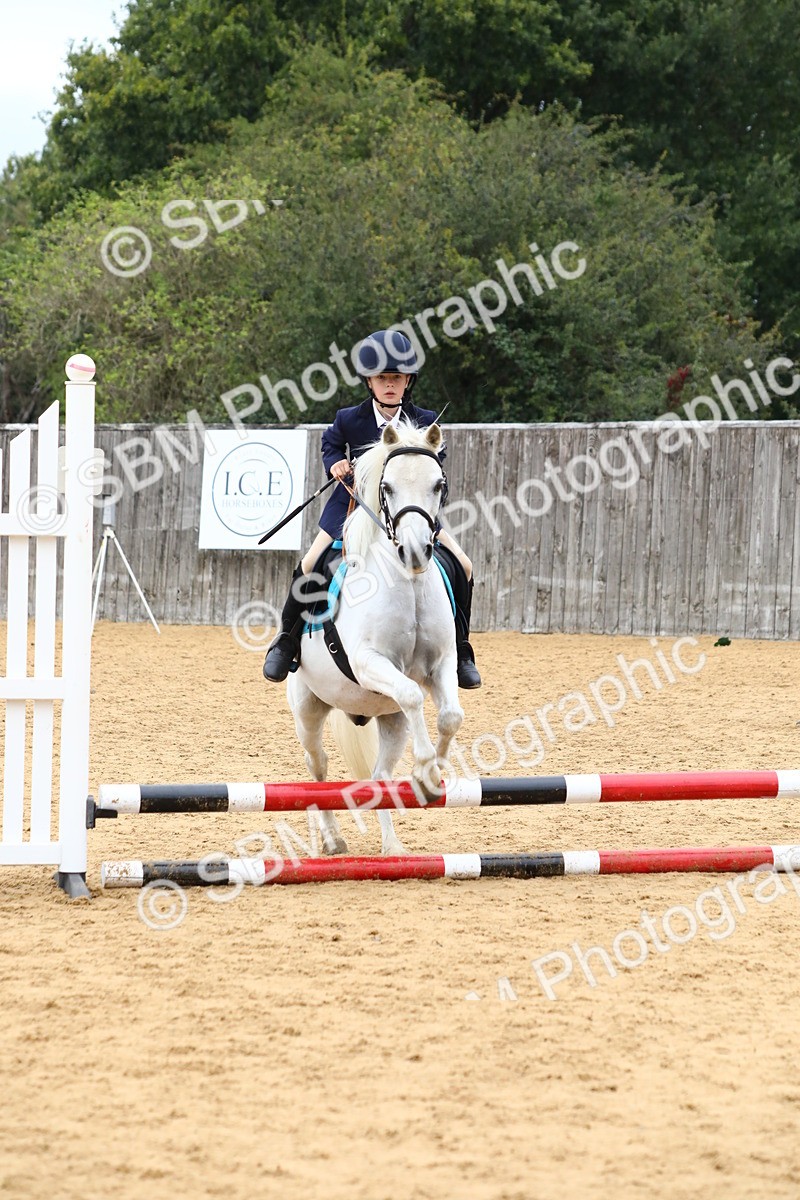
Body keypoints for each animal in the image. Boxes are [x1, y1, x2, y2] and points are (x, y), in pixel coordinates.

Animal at [286, 421, 464, 856]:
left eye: (439, 484)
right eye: (387, 487)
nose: (415, 552)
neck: (408, 583)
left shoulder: (443, 663)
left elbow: (450, 716)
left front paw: (435, 773)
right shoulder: (370, 663)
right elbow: (415, 695)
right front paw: (426, 770)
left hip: (390, 718)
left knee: (380, 774)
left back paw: (392, 847)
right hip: (308, 711)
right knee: (318, 768)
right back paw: (333, 840)